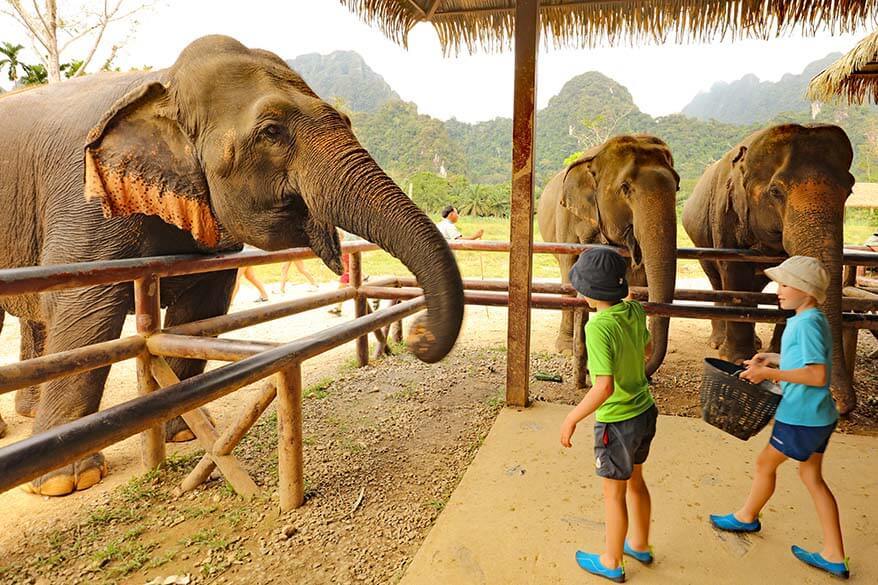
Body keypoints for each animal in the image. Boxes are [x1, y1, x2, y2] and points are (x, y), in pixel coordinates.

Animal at [0, 35, 468, 492]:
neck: (161, 83)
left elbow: (199, 314)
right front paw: (66, 481)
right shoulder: (84, 200)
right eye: (272, 132)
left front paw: (185, 433)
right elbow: (85, 312)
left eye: (346, 120)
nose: (420, 334)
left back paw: (29, 413)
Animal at [536, 135, 680, 376]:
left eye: (677, 186)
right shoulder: (566, 215)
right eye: (625, 187)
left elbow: (638, 280)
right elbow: (570, 269)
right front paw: (568, 350)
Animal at [684, 124, 856, 410]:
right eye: (775, 191)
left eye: (850, 191)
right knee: (716, 279)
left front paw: (778, 354)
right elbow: (734, 273)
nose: (841, 405)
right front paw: (736, 358)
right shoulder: (725, 213)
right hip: (700, 238)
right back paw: (718, 342)